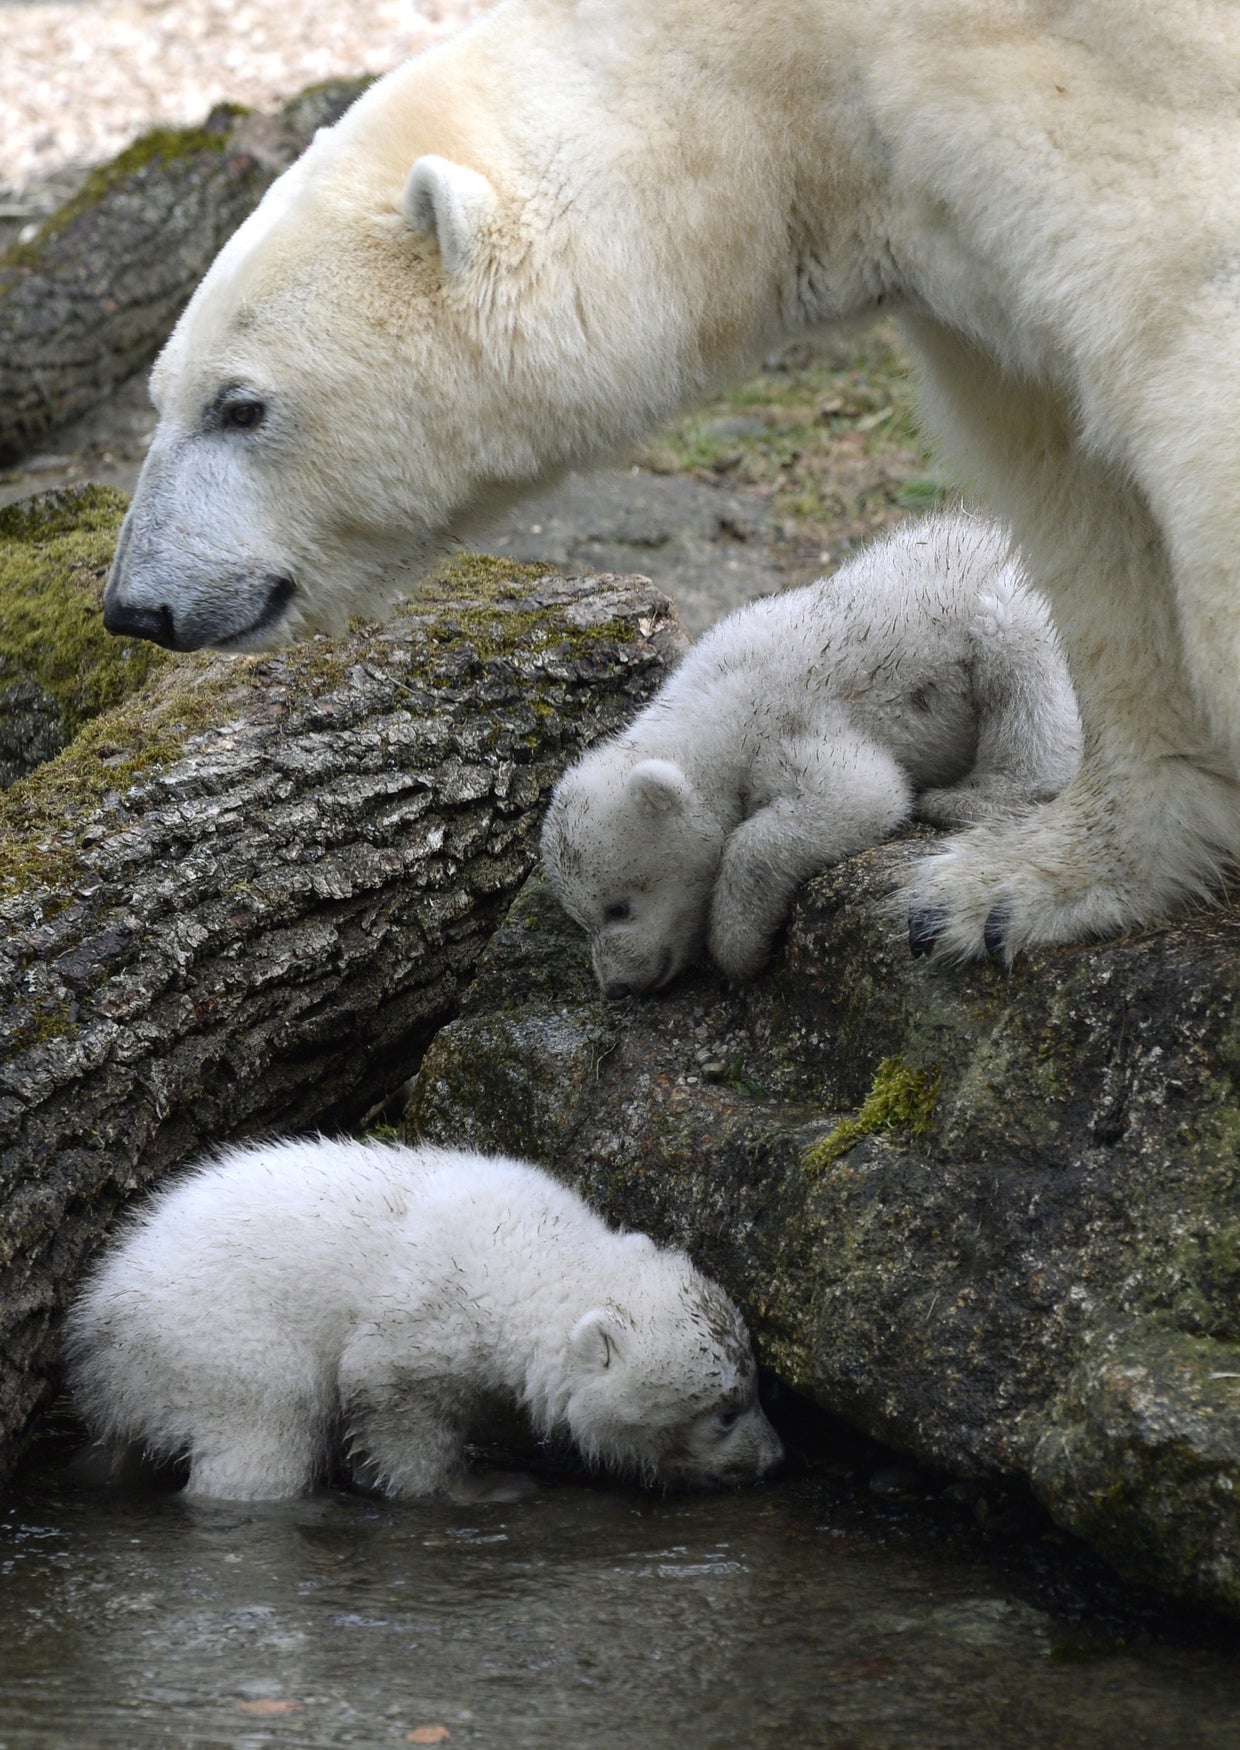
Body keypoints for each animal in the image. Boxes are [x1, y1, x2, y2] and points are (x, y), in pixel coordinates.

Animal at [64, 1136, 783, 1502]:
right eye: (724, 1412)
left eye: (754, 1387)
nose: (776, 1457)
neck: (534, 1253)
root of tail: (96, 1319)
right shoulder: (434, 1315)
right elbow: (393, 1403)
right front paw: (484, 1487)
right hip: (214, 1341)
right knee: (265, 1430)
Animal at [541, 511, 1081, 992]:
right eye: (581, 919)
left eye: (618, 907)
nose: (617, 986)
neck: (713, 702)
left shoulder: (787, 725)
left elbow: (862, 795)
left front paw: (736, 944)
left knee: (1017, 656)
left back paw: (971, 797)